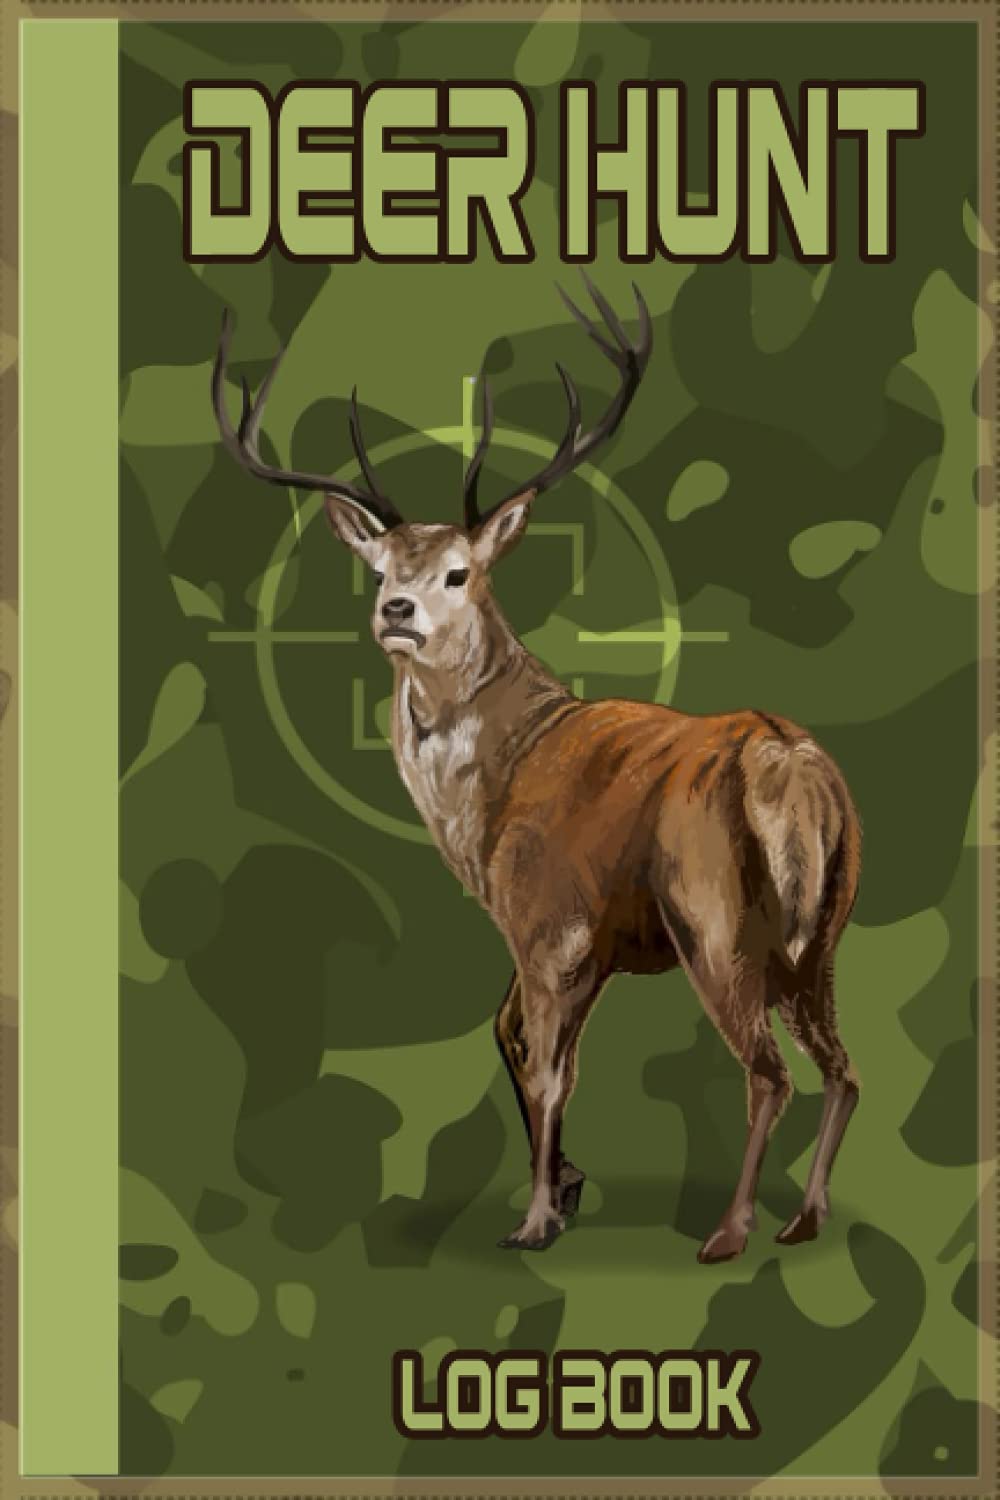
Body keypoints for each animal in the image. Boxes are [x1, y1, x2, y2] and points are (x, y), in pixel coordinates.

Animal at [212, 278, 862, 1265]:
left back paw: (728, 1231)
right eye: (379, 570)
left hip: (713, 917)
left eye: (457, 573)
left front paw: (535, 1219)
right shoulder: (575, 944)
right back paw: (806, 1215)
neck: (484, 806)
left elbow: (547, 1065)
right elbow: (515, 1038)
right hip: (823, 930)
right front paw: (567, 1185)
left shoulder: (548, 919)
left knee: (770, 1072)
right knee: (843, 1067)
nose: (397, 611)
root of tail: (787, 767)